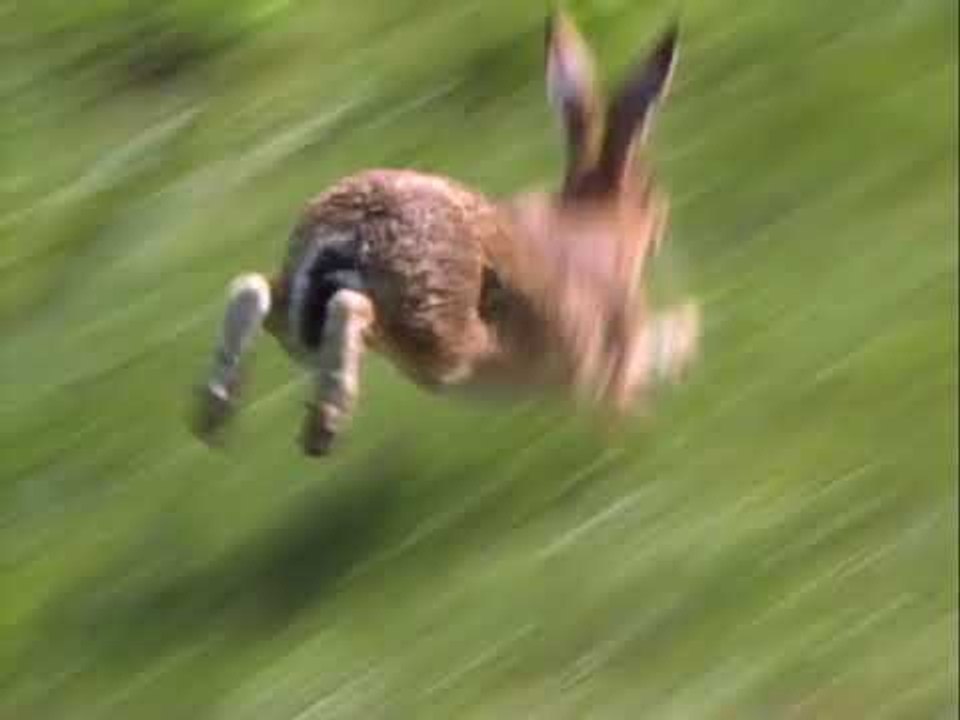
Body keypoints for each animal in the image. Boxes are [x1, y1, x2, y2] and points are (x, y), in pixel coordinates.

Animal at [193, 11, 700, 457]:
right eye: (651, 194)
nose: (661, 226)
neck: (602, 220)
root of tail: (351, 230)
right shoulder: (607, 359)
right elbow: (635, 372)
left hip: (307, 326)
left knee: (251, 288)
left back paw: (215, 411)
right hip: (441, 339)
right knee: (352, 307)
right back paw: (324, 424)